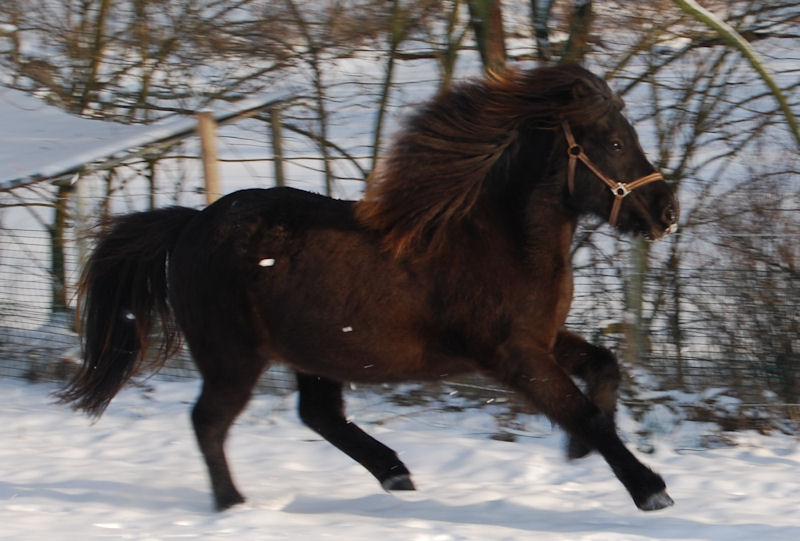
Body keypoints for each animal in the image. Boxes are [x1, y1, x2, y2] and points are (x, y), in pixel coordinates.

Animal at [59, 63, 680, 510]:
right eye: (614, 143)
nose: (667, 211)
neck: (498, 239)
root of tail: (189, 224)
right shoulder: (513, 354)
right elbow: (584, 411)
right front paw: (650, 489)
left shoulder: (543, 338)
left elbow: (604, 369)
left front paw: (577, 452)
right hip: (234, 356)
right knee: (210, 422)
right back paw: (234, 505)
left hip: (314, 351)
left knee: (318, 415)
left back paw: (396, 475)